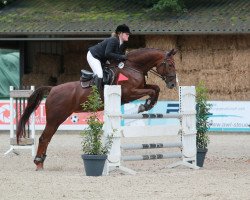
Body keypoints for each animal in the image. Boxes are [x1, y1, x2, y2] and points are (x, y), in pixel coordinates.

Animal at [16, 47, 177, 170]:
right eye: (169, 65)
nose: (173, 84)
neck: (133, 68)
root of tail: (53, 89)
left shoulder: (140, 87)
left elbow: (155, 88)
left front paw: (150, 103)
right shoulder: (129, 93)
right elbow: (150, 91)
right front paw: (146, 105)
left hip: (58, 119)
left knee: (47, 138)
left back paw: (41, 162)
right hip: (55, 118)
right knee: (44, 138)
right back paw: (38, 162)